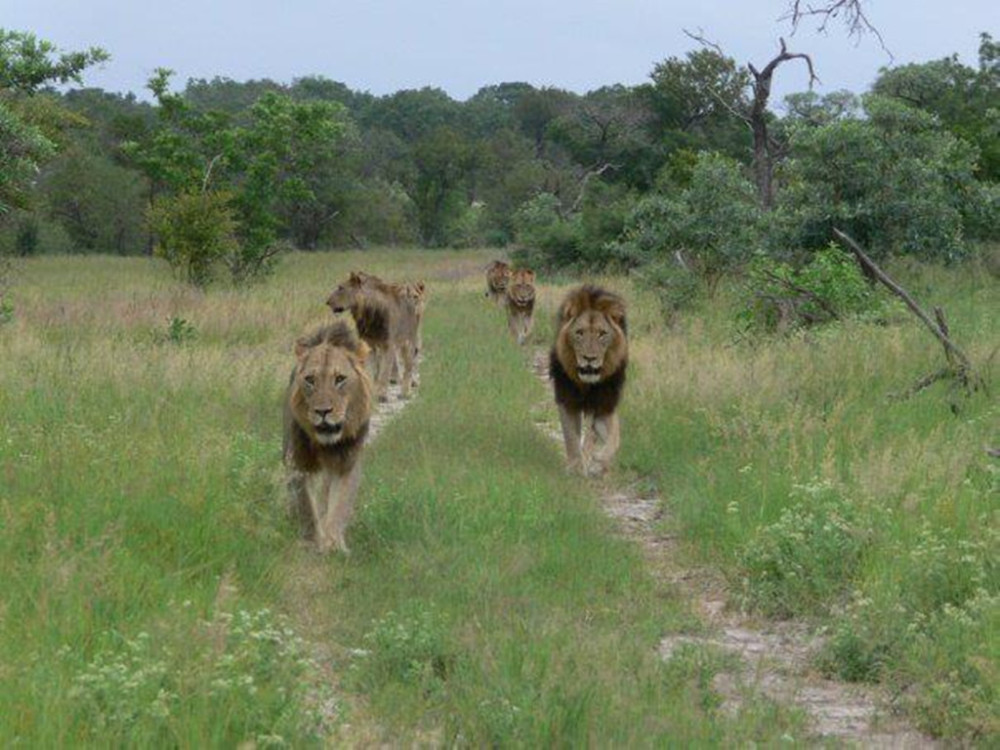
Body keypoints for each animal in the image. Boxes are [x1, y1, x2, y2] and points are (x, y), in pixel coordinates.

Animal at [284, 320, 374, 556]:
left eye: (340, 379)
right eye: (310, 380)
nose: (323, 411)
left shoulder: (347, 461)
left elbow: (340, 502)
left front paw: (333, 544)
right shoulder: (298, 462)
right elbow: (306, 504)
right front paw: (313, 541)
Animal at [328, 274, 418, 402]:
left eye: (341, 288)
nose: (327, 302)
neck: (367, 314)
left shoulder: (388, 345)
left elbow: (384, 372)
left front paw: (382, 395)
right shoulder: (369, 344)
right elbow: (373, 370)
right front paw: (371, 393)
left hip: (408, 341)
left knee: (408, 367)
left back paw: (405, 393)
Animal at [552, 284, 628, 478]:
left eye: (602, 334)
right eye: (579, 333)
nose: (589, 358)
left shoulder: (604, 404)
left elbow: (614, 438)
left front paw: (599, 459)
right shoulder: (567, 399)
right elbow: (571, 436)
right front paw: (575, 467)